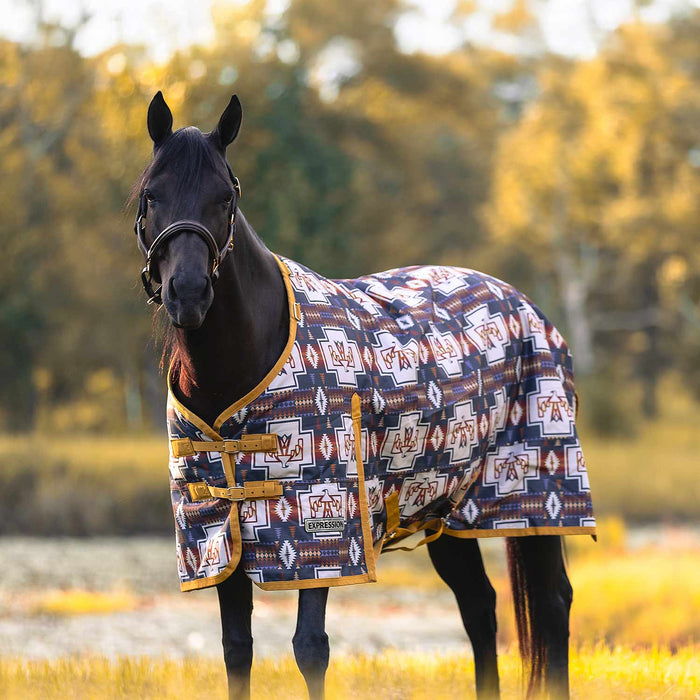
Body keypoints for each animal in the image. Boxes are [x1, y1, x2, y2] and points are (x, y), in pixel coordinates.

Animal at [132, 91, 594, 700]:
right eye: (151, 194)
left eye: (225, 196)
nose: (187, 293)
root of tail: (527, 306)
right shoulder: (219, 531)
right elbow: (237, 650)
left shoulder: (320, 528)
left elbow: (310, 649)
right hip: (444, 506)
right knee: (480, 607)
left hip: (534, 494)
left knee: (552, 602)